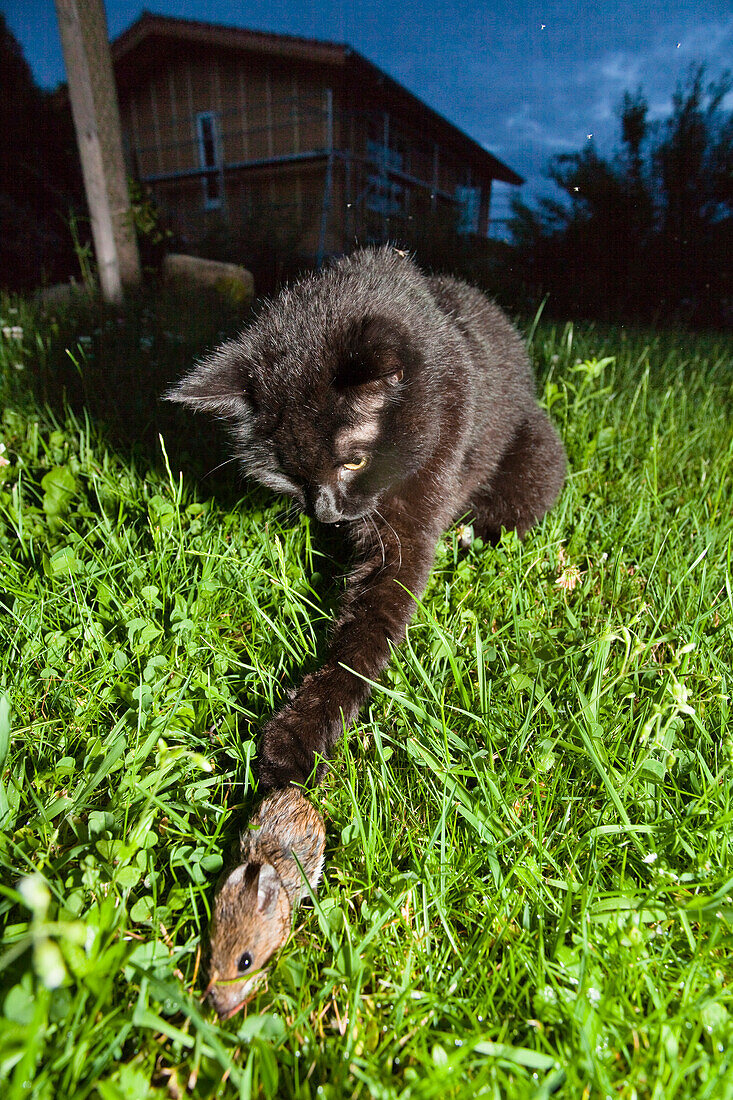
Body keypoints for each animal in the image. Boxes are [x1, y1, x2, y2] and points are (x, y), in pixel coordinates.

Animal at [165, 245, 563, 787]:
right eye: (287, 470)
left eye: (353, 462)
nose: (327, 514)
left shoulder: (416, 513)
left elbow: (366, 634)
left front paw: (298, 736)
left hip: (537, 457)